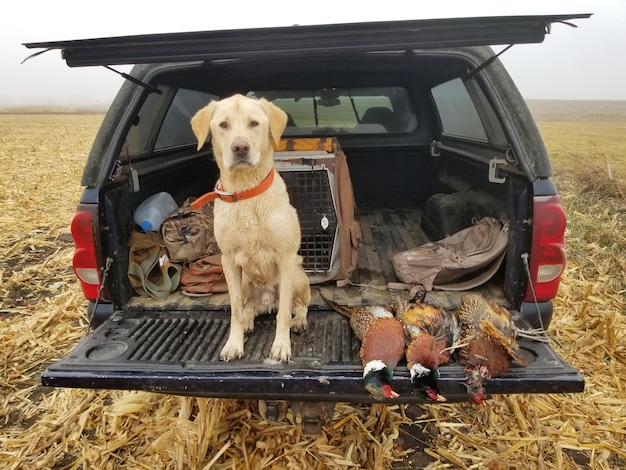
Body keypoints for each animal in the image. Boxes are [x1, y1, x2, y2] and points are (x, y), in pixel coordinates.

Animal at [189, 93, 308, 362]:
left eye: (254, 123)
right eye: (223, 125)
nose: (240, 147)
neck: (245, 194)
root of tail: (266, 301)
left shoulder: (286, 258)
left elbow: (283, 313)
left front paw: (281, 346)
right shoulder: (229, 261)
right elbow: (234, 309)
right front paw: (234, 344)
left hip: (297, 274)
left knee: (298, 305)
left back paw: (299, 320)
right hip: (244, 281)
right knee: (247, 308)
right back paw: (248, 320)